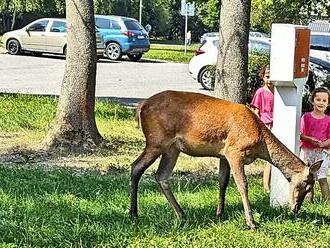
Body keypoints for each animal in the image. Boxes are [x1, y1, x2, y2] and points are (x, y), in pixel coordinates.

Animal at [130, 90, 322, 230]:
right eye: (307, 186)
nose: (295, 209)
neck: (260, 141)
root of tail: (140, 107)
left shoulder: (223, 155)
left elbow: (222, 181)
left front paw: (220, 215)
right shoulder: (234, 151)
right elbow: (242, 184)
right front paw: (251, 223)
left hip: (172, 149)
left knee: (161, 176)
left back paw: (181, 215)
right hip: (156, 141)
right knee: (136, 167)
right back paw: (134, 214)